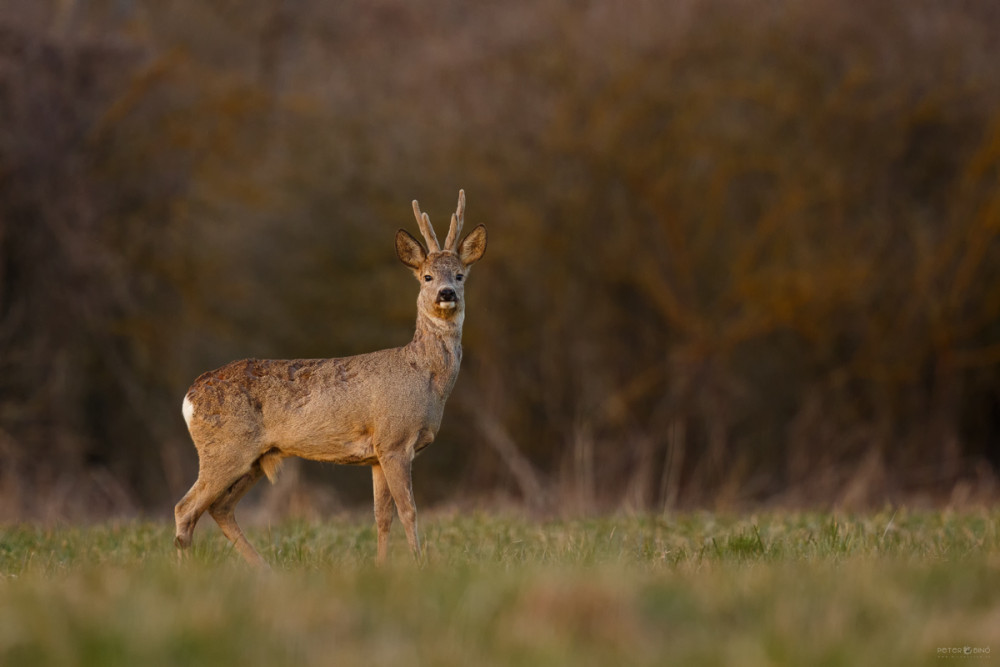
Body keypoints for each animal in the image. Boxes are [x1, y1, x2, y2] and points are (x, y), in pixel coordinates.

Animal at [176, 190, 488, 568]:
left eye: (459, 275)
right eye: (427, 276)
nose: (446, 293)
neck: (425, 378)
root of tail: (190, 396)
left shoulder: (376, 453)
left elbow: (381, 516)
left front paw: (381, 566)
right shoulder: (394, 439)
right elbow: (409, 510)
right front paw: (418, 563)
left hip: (254, 457)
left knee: (218, 507)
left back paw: (265, 570)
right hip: (224, 449)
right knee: (185, 508)